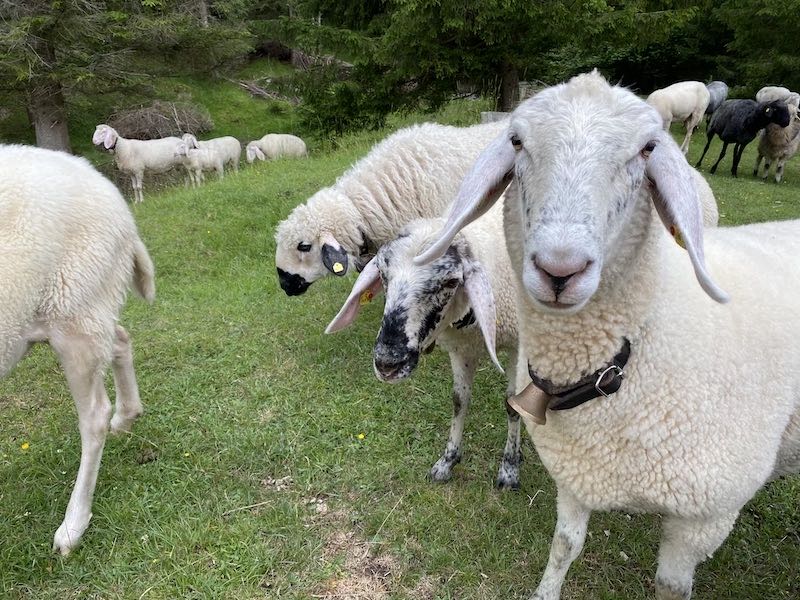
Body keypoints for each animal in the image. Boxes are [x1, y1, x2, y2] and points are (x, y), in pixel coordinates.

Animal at [0, 144, 155, 555]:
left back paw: (73, 524)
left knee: (94, 416)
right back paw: (127, 416)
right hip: (81, 308)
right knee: (120, 339)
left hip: (73, 308)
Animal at [325, 204, 524, 489]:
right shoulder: (461, 348)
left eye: (451, 282)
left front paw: (509, 468)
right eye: (382, 274)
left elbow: (512, 405)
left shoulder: (519, 345)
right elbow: (459, 401)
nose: (388, 364)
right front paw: (448, 460)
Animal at [414, 71, 800, 599]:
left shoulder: (702, 519)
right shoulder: (576, 474)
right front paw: (545, 591)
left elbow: (670, 586)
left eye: (647, 149)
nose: (560, 270)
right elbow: (564, 546)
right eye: (517, 141)